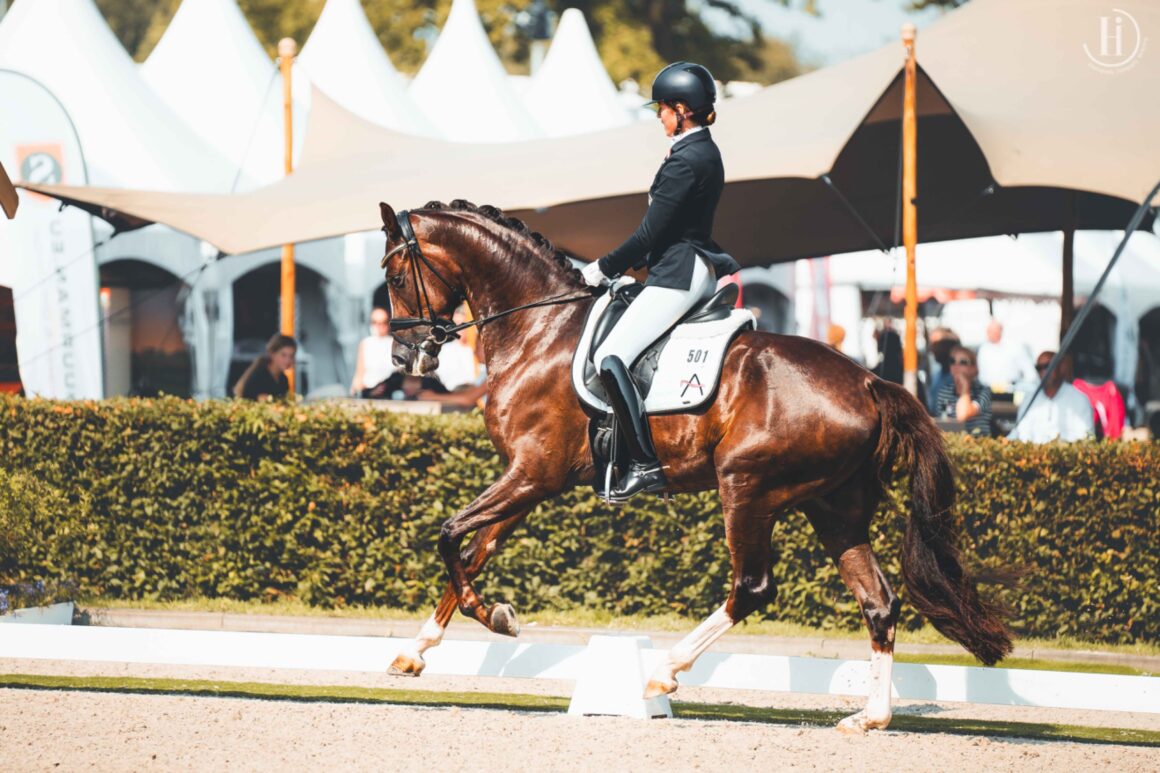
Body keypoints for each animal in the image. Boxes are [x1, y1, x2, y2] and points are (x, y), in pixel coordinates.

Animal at [378, 198, 1006, 728]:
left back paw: (662, 673)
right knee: (878, 601)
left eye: (395, 277)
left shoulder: (533, 474)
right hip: (834, 509)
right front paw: (416, 651)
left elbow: (449, 536)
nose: (407, 359)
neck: (538, 330)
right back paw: (870, 717)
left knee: (752, 587)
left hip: (747, 488)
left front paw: (494, 616)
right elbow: (472, 554)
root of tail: (871, 382)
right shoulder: (533, 479)